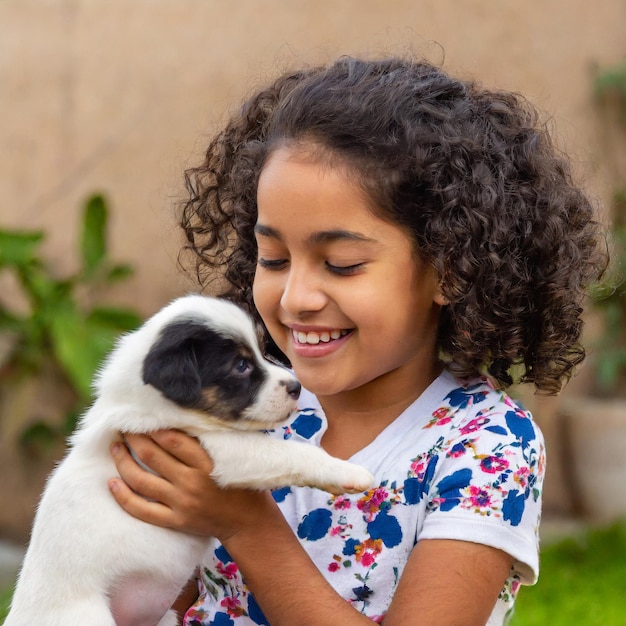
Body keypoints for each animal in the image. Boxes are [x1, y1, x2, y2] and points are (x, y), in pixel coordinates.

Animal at [4, 294, 372, 624]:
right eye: (240, 366)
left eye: (262, 350)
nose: (296, 387)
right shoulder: (223, 449)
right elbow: (292, 452)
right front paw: (349, 472)